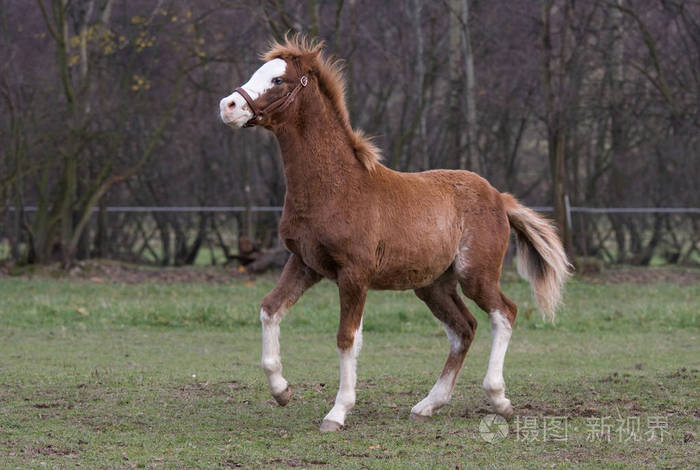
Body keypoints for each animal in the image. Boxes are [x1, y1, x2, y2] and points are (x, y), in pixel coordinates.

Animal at [221, 35, 572, 434]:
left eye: (278, 79)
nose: (228, 106)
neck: (335, 187)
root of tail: (500, 198)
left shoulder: (354, 274)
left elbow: (347, 338)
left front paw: (337, 412)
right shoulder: (304, 263)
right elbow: (270, 309)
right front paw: (281, 391)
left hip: (476, 276)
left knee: (504, 313)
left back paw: (499, 399)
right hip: (433, 285)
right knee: (464, 329)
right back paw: (428, 405)